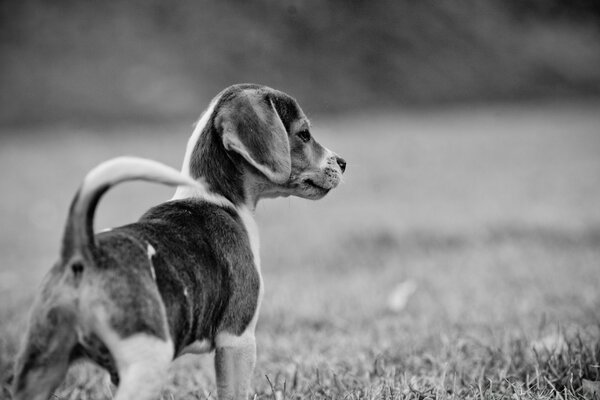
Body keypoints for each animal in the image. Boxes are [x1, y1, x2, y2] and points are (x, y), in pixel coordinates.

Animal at [10, 84, 346, 400]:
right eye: (304, 134)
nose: (343, 163)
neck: (211, 194)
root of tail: (83, 252)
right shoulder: (237, 338)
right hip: (148, 360)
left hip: (40, 367)